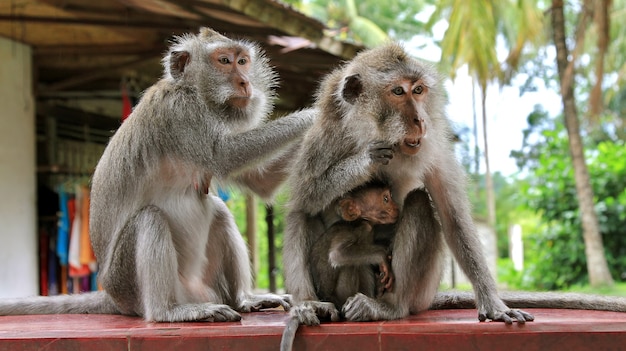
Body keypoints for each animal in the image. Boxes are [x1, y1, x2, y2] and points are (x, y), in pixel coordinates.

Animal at [0, 26, 314, 324]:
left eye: (243, 61)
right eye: (224, 61)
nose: (245, 82)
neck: (194, 93)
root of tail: (113, 297)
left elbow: (262, 182)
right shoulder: (179, 113)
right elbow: (224, 156)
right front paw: (313, 114)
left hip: (201, 285)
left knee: (218, 211)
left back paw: (244, 299)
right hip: (127, 282)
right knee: (149, 219)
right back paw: (169, 311)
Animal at [280, 182, 398, 351]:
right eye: (386, 199)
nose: (396, 207)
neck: (362, 221)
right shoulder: (356, 229)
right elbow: (338, 255)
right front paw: (382, 257)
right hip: (341, 294)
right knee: (351, 265)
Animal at [282, 42, 624, 330]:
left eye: (418, 90)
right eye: (398, 91)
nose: (420, 120)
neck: (371, 130)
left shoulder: (432, 144)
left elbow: (452, 214)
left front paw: (492, 302)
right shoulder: (324, 137)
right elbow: (304, 200)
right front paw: (367, 160)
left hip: (421, 288)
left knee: (419, 202)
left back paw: (391, 307)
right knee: (303, 217)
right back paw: (313, 303)